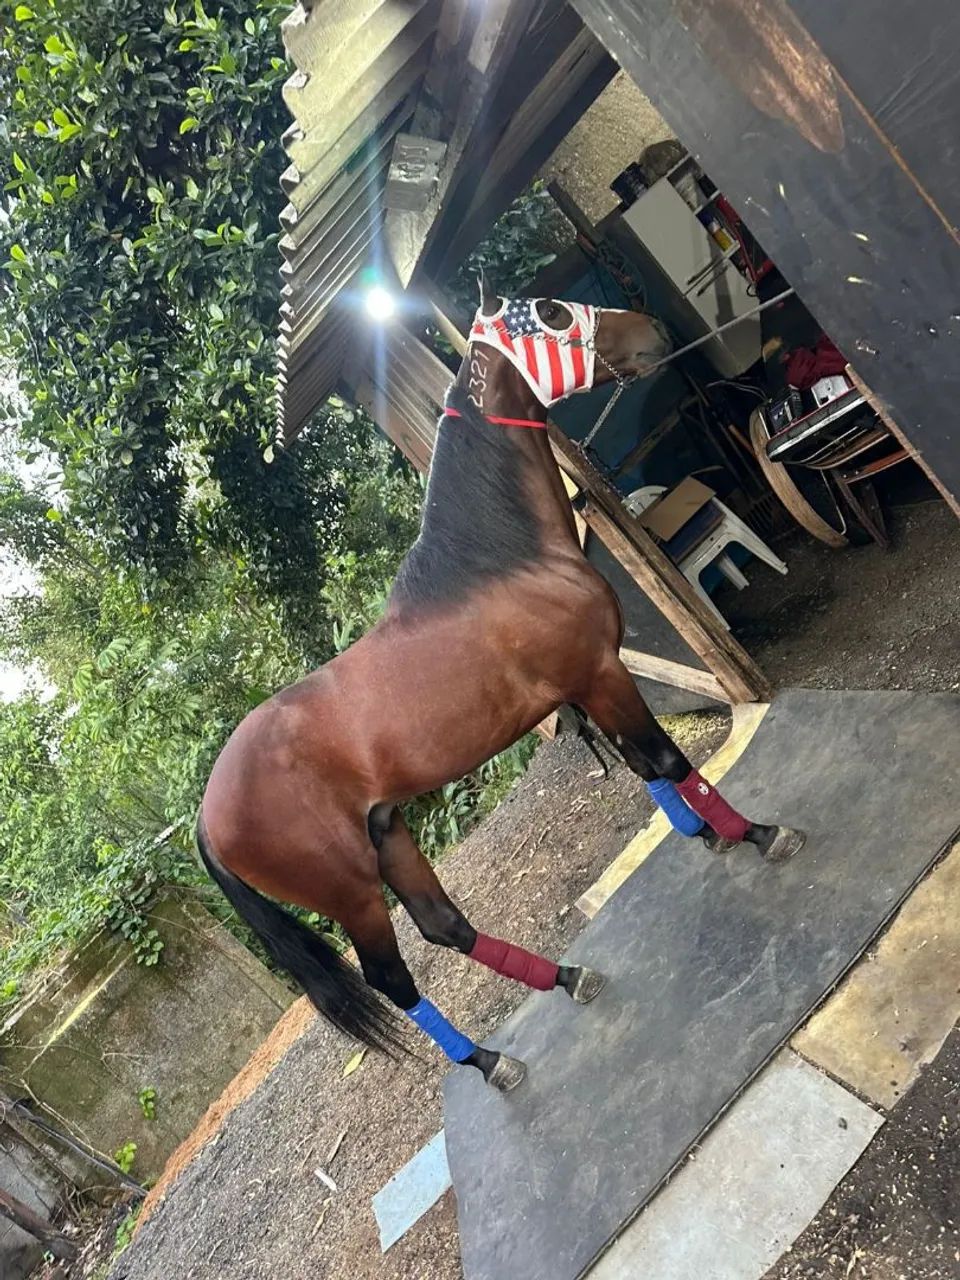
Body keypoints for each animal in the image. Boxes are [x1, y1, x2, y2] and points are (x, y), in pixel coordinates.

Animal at [198, 283, 805, 1092]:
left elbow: (644, 766)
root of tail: (207, 815)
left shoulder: (590, 683)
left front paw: (706, 836)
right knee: (394, 978)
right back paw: (489, 1062)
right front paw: (757, 834)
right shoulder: (600, 672)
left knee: (445, 926)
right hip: (351, 890)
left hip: (389, 834)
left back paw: (566, 979)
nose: (653, 328)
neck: (505, 563)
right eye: (549, 313)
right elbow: (667, 760)